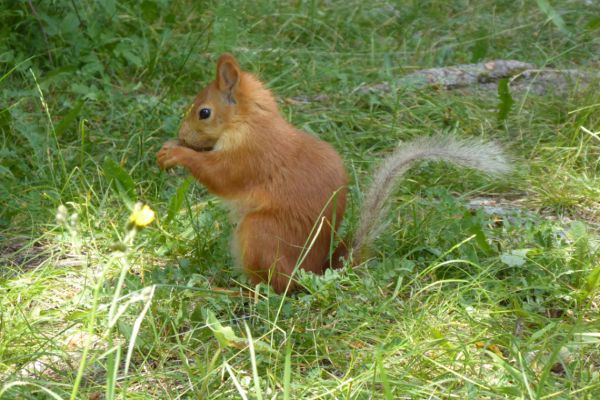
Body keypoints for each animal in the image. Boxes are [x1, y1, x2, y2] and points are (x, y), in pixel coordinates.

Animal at [157, 54, 508, 294]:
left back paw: (238, 290)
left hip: (259, 233)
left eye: (204, 112)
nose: (182, 134)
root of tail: (311, 273)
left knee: (274, 288)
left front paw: (176, 153)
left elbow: (220, 176)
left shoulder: (251, 156)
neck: (249, 122)